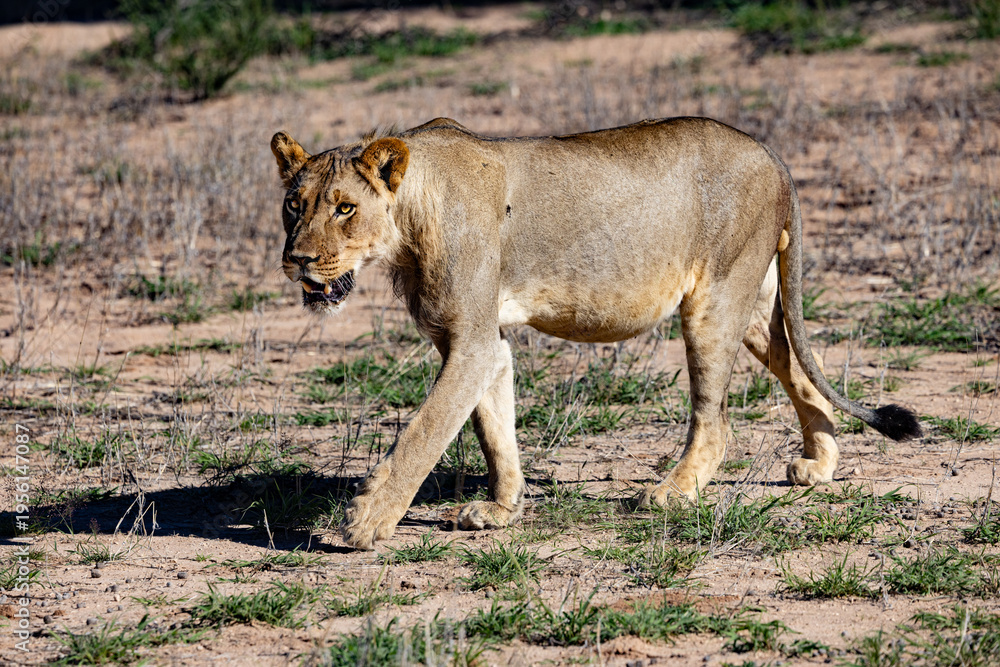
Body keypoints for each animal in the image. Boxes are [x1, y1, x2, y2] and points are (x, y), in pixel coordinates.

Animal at [270, 117, 921, 550]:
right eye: (294, 205)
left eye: (345, 208)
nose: (297, 260)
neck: (408, 220)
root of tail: (773, 156)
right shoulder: (482, 342)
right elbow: (494, 429)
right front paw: (502, 509)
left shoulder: (470, 340)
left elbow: (423, 433)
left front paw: (365, 522)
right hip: (757, 307)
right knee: (804, 376)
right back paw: (818, 466)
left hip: (712, 302)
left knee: (716, 421)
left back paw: (671, 493)